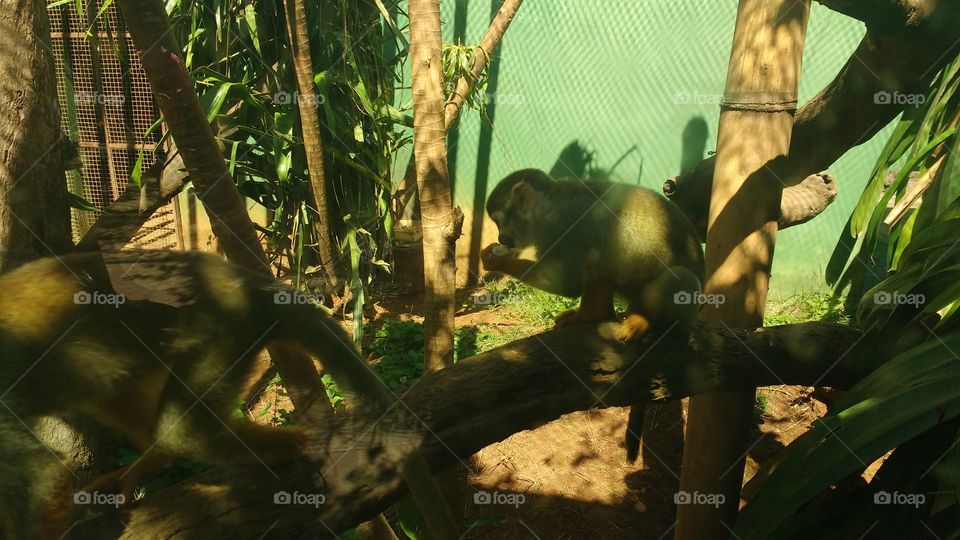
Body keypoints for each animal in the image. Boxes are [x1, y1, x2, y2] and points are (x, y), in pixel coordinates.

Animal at [481, 169, 705, 462]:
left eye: (499, 221)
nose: (502, 238)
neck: (549, 203)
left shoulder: (563, 222)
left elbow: (567, 282)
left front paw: (497, 260)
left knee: (681, 279)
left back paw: (649, 321)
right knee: (601, 263)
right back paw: (591, 316)